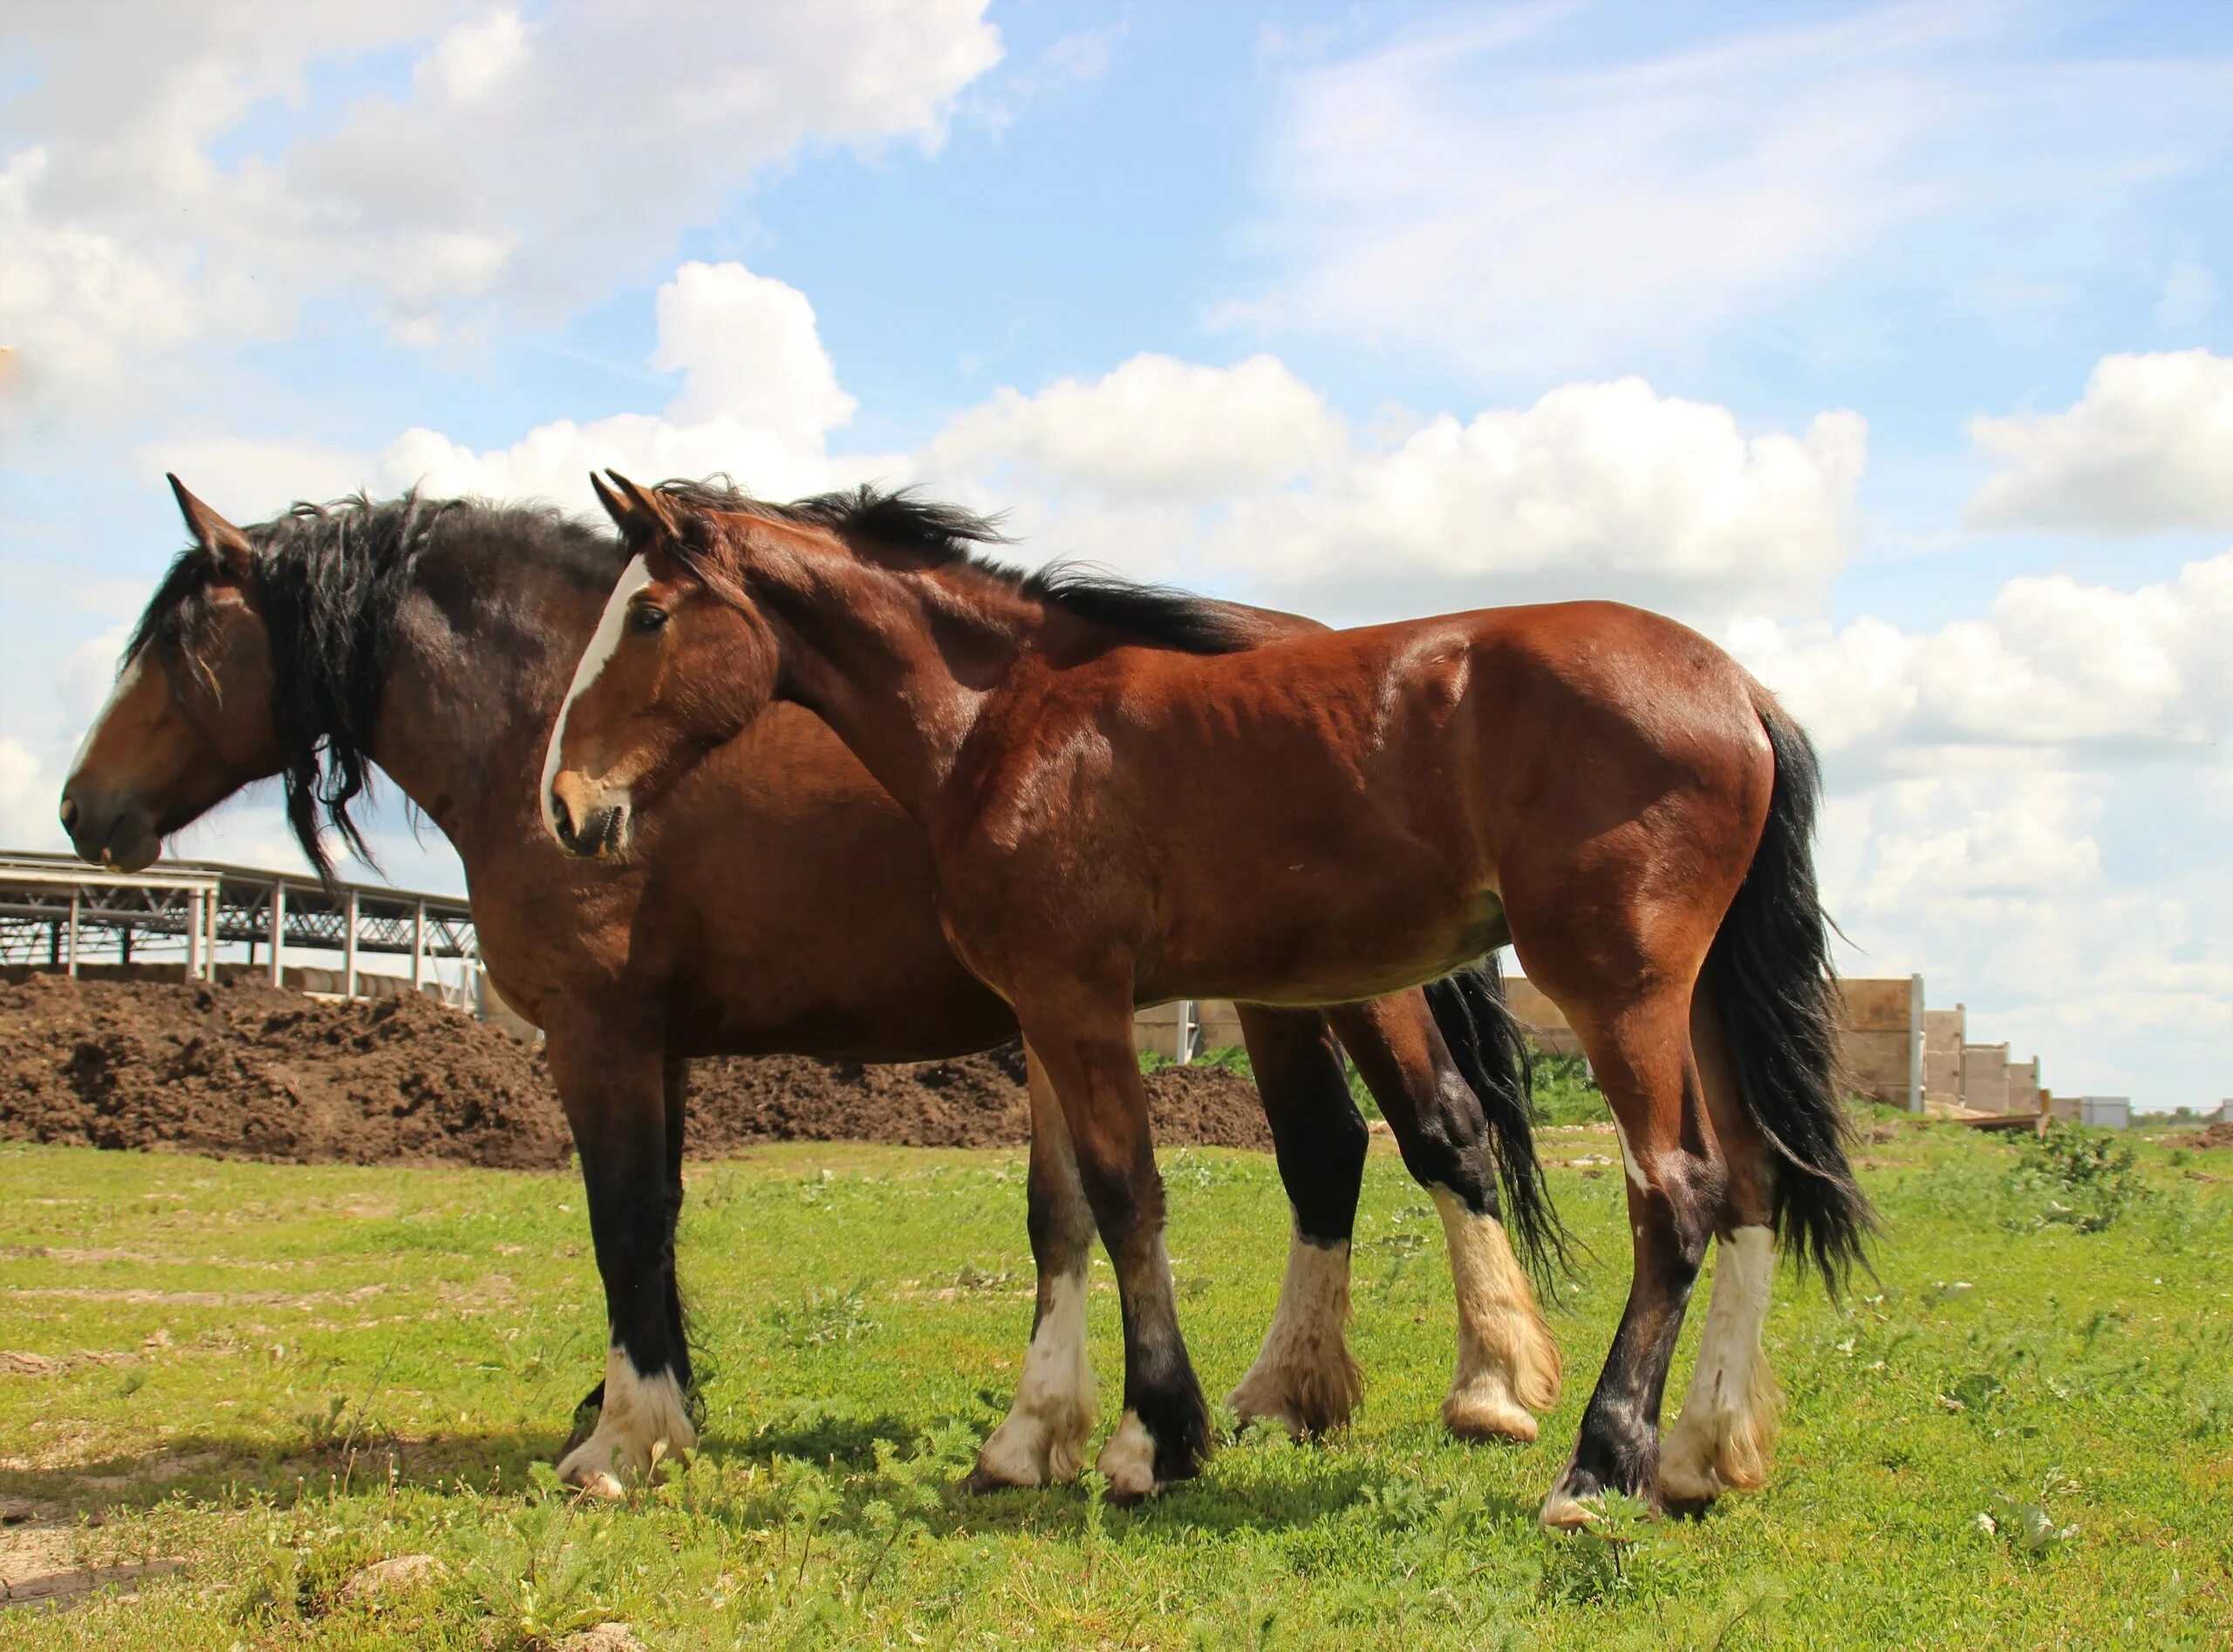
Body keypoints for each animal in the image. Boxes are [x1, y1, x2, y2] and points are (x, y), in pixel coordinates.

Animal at [70, 473, 1572, 1499]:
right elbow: (680, 1220)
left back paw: (1491, 1385)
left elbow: (624, 1221)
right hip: (1275, 997)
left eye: (175, 645)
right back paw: (1289, 1392)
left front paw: (626, 1435)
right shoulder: (671, 1045)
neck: (532, 715)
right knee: (1328, 1156)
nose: (85, 810)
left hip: (1349, 990)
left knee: (1439, 1134)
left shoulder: (600, 1038)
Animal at [549, 473, 1875, 1526]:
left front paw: (1153, 1437)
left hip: (1621, 993)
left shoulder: (1082, 1000)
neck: (1006, 722)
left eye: (650, 615)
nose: (568, 808)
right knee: (1752, 1185)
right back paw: (1699, 1457)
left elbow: (1128, 1197)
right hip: (1694, 1004)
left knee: (1677, 1195)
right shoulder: (1044, 1009)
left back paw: (1597, 1471)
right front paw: (1028, 1439)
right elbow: (1058, 1215)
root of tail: (1741, 690)